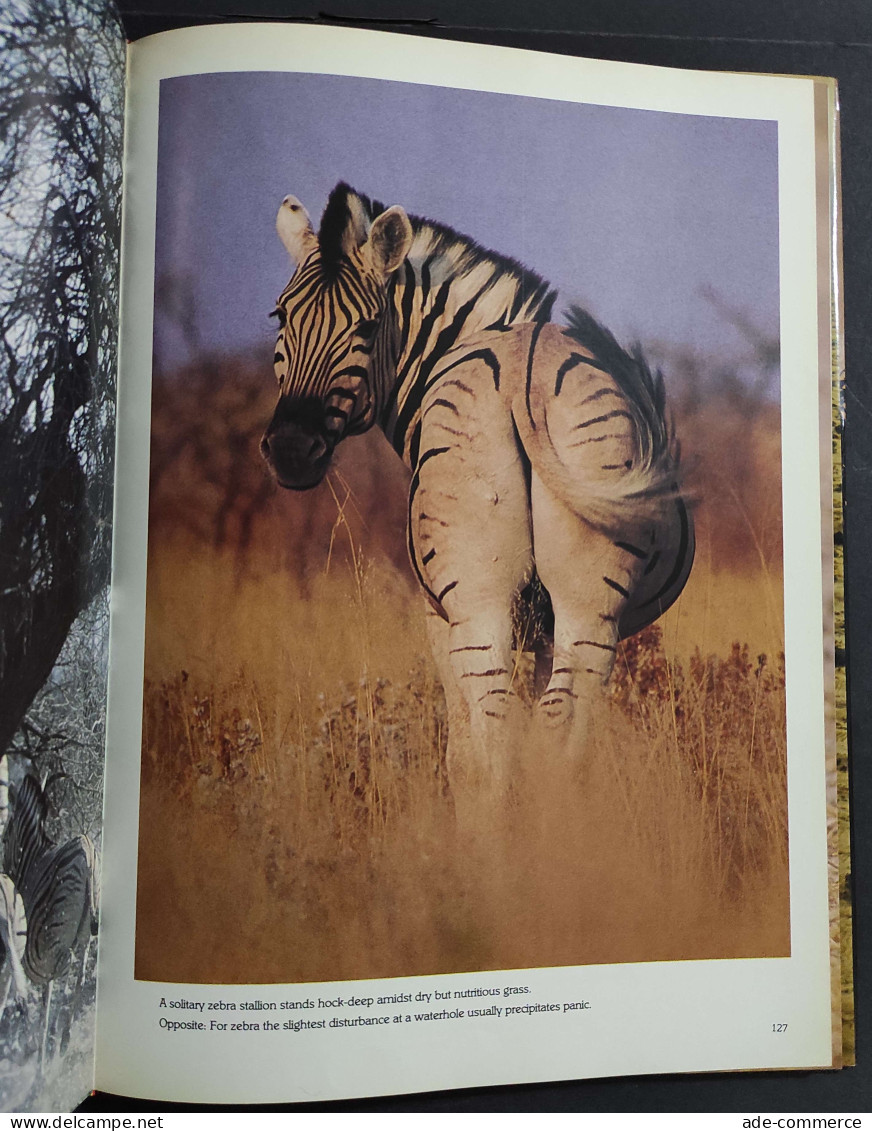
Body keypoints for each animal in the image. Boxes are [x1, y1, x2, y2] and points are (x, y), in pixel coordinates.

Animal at [262, 183, 692, 796]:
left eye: (367, 327)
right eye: (280, 316)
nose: (290, 449)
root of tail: (522, 370)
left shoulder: (438, 615)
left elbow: (463, 748)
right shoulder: (541, 626)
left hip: (475, 597)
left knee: (492, 727)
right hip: (585, 602)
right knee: (556, 717)